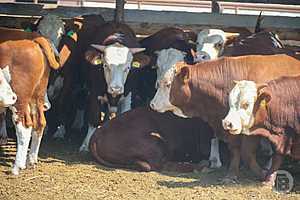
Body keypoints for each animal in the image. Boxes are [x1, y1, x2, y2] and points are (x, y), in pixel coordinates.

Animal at [151, 54, 300, 182]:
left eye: (168, 84)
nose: (152, 104)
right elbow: (235, 149)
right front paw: (231, 174)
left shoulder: (252, 130)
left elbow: (247, 153)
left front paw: (261, 173)